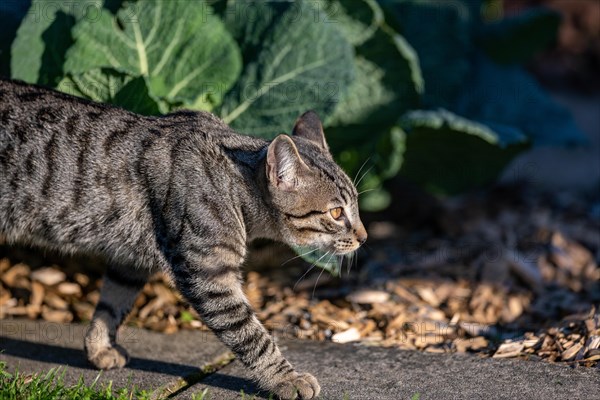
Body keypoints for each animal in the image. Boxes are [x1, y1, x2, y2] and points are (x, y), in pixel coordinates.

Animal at [0, 79, 366, 400]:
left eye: (357, 207)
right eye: (336, 213)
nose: (363, 237)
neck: (233, 184)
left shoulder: (130, 260)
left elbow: (112, 304)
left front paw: (99, 347)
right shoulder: (208, 273)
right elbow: (251, 334)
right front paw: (286, 379)